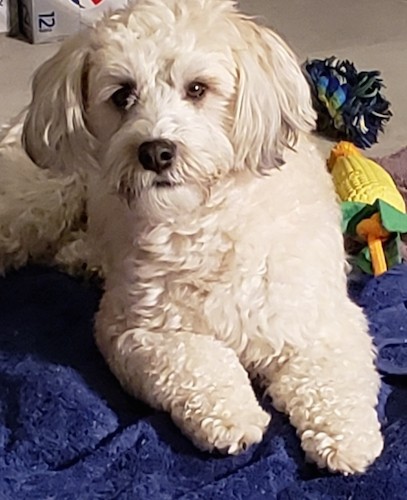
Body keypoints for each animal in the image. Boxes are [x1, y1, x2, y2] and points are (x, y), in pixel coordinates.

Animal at [0, 0, 384, 472]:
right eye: (122, 94)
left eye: (198, 88)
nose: (156, 151)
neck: (205, 220)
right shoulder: (140, 332)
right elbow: (198, 363)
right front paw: (233, 416)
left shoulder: (319, 318)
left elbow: (333, 377)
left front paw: (348, 439)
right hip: (45, 195)